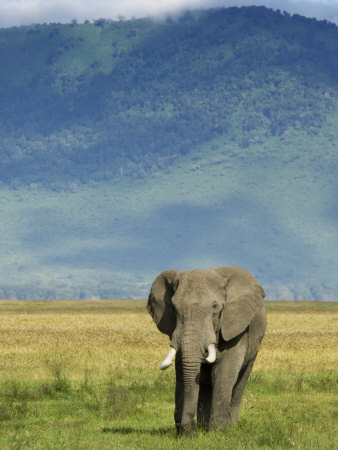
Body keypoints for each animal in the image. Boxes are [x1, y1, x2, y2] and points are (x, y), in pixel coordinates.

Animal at [148, 266, 266, 434]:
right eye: (172, 308)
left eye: (214, 307)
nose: (187, 428)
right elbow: (183, 371)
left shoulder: (236, 327)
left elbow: (223, 371)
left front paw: (217, 432)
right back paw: (204, 426)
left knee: (241, 379)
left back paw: (229, 425)